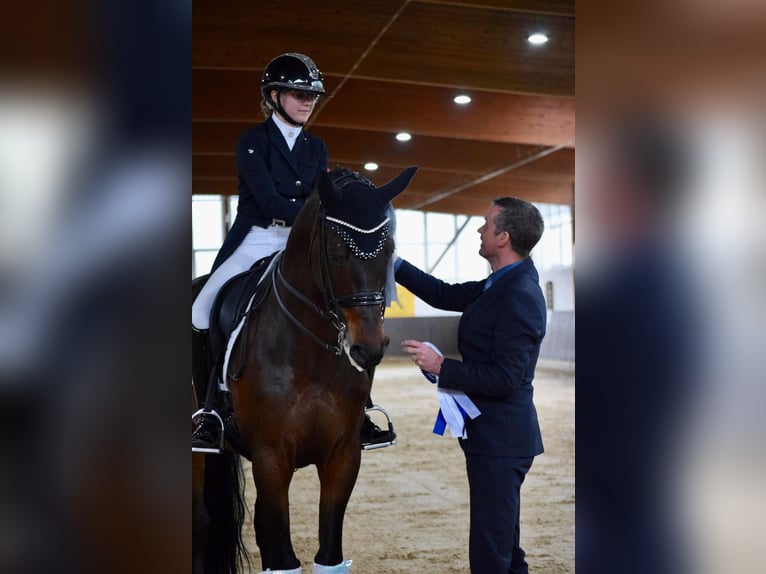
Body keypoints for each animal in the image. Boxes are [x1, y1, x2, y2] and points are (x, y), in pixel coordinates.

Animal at [192, 164, 420, 572]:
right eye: (335, 251)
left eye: (389, 250)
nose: (369, 348)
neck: (310, 351)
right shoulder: (271, 457)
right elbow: (285, 557)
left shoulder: (343, 456)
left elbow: (326, 554)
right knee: (202, 524)